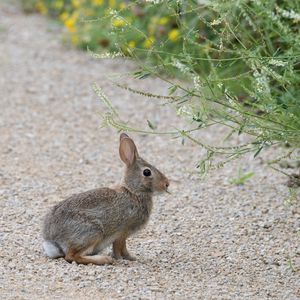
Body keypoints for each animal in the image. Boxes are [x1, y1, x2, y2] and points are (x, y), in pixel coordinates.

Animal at [42, 134, 169, 264]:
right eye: (147, 172)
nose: (166, 184)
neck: (133, 192)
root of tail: (52, 240)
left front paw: (131, 258)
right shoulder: (122, 232)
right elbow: (120, 248)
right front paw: (124, 259)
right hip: (92, 232)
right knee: (71, 256)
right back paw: (104, 259)